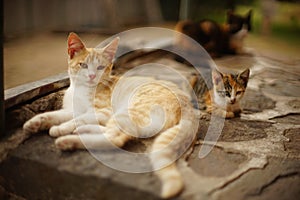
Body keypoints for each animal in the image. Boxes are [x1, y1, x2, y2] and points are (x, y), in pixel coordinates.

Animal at [23, 32, 197, 198]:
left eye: (100, 67)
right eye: (83, 65)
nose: (92, 76)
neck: (80, 90)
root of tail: (188, 105)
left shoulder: (103, 111)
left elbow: (78, 119)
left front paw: (62, 127)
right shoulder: (71, 110)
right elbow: (55, 114)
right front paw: (35, 122)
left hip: (127, 111)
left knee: (114, 139)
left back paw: (68, 140)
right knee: (113, 133)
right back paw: (82, 131)